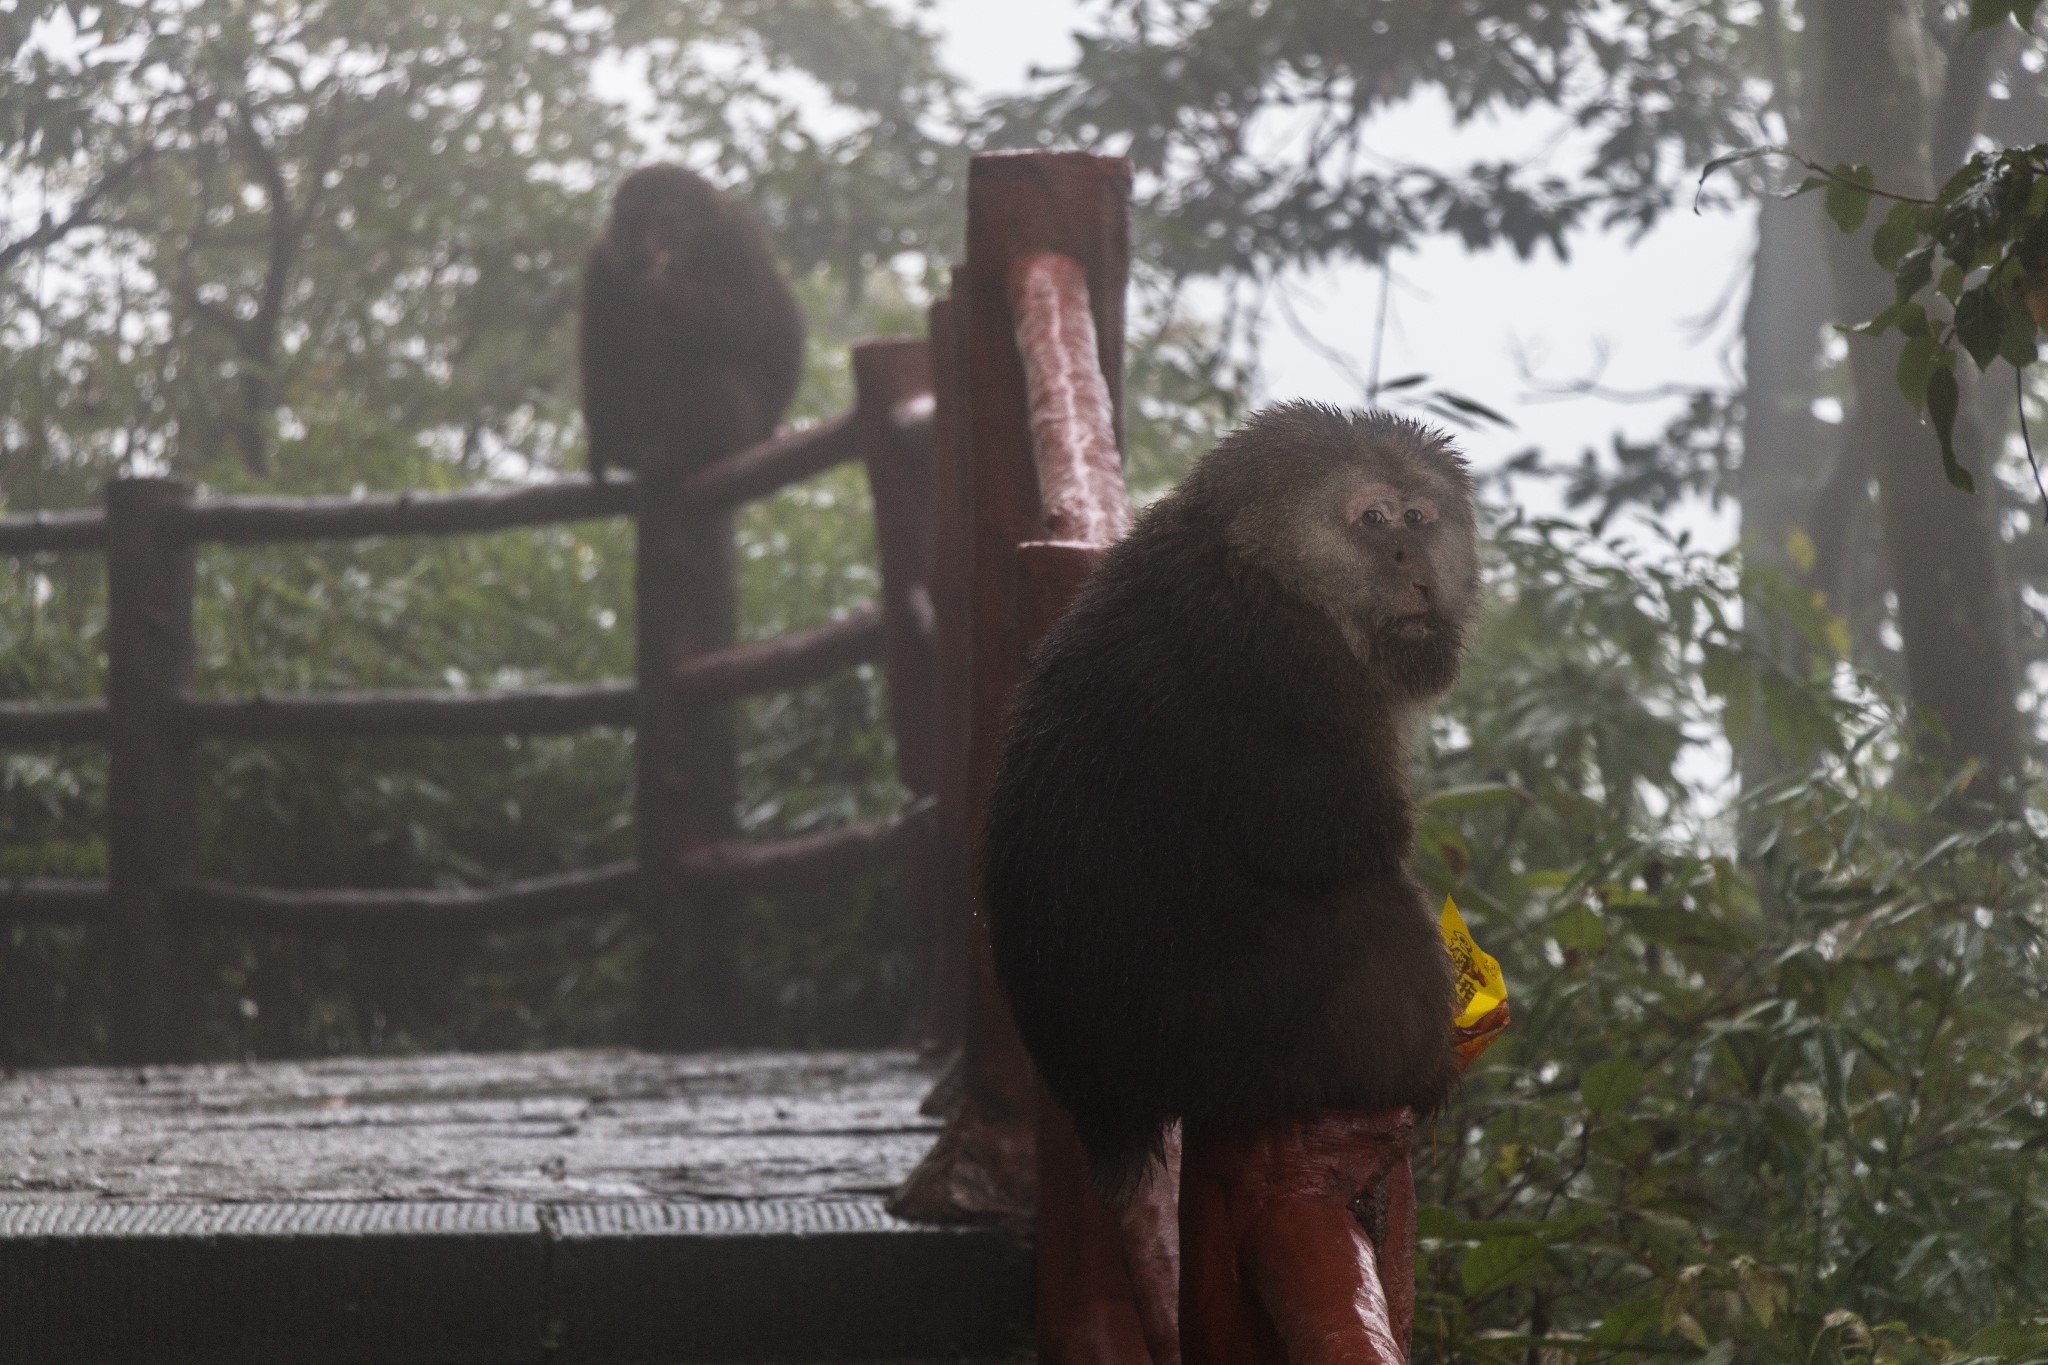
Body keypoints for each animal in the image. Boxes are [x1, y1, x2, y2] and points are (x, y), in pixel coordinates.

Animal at [577, 163, 806, 482]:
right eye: (636, 223)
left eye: (667, 221)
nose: (646, 247)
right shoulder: (600, 262)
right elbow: (599, 357)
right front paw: (599, 443)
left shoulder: (738, 236)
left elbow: (765, 330)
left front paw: (663, 292)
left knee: (712, 373)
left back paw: (695, 451)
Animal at [983, 397, 1482, 1203]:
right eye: (1374, 520)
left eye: (1418, 517)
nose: (1413, 561)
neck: (1261, 567)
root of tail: (1103, 1103)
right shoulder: (1292, 661)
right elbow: (1355, 837)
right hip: (1236, 1051)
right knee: (1376, 910)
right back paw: (1414, 1079)